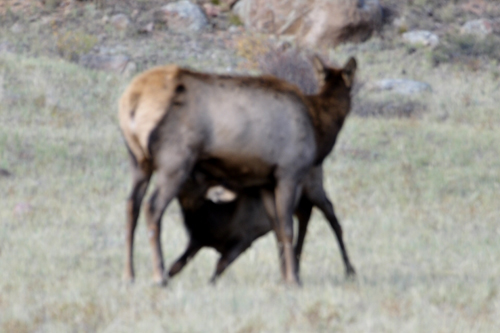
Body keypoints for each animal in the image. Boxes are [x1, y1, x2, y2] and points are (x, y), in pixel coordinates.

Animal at [119, 55, 358, 284]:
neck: (319, 127)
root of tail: (133, 99)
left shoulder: (265, 181)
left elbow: (278, 230)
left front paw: (286, 278)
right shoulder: (289, 172)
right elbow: (287, 228)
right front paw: (293, 279)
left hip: (137, 160)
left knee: (132, 206)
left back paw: (130, 275)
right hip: (175, 161)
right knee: (152, 208)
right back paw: (159, 276)